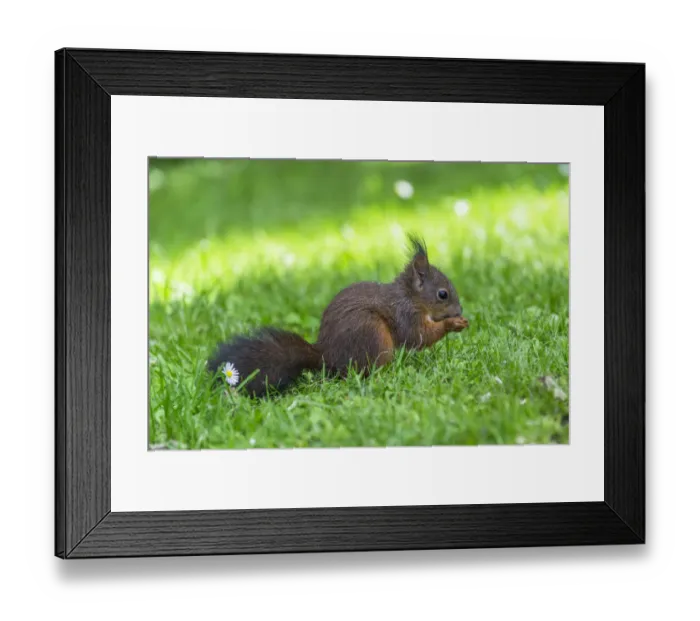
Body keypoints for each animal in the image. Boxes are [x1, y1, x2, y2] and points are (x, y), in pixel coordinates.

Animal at [207, 235, 469, 396]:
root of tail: (327, 358)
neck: (410, 296)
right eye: (443, 294)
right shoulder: (406, 315)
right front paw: (453, 324)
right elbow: (419, 337)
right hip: (373, 335)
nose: (459, 311)